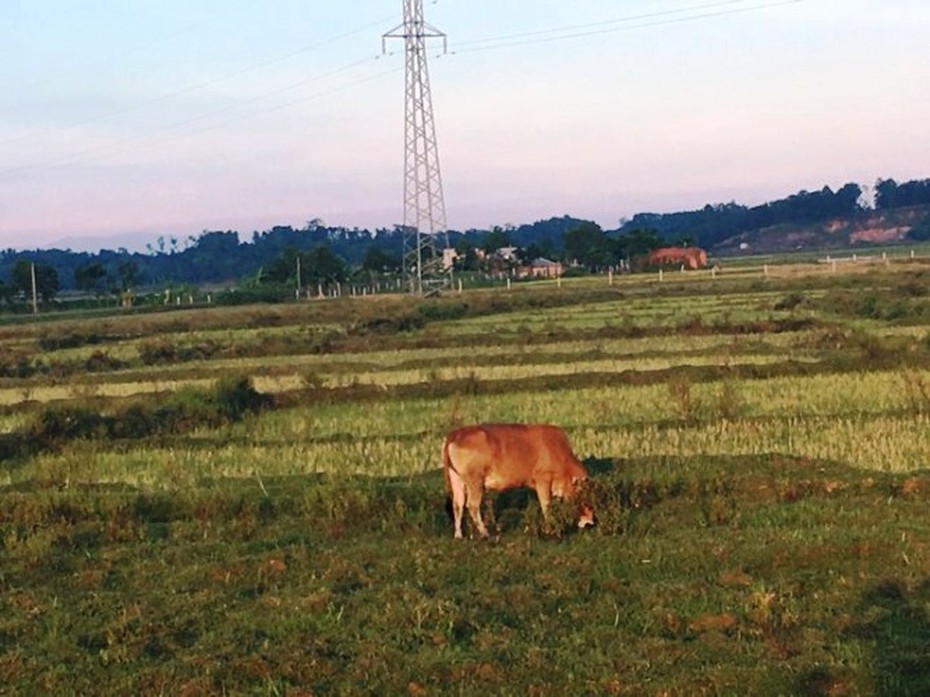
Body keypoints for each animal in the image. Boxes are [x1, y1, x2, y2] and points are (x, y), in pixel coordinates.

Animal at [438, 424, 592, 540]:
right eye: (584, 497)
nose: (589, 522)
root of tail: (456, 433)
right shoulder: (543, 480)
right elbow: (546, 505)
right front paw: (550, 529)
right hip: (475, 482)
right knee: (472, 506)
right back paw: (484, 533)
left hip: (457, 479)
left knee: (457, 505)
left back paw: (459, 535)